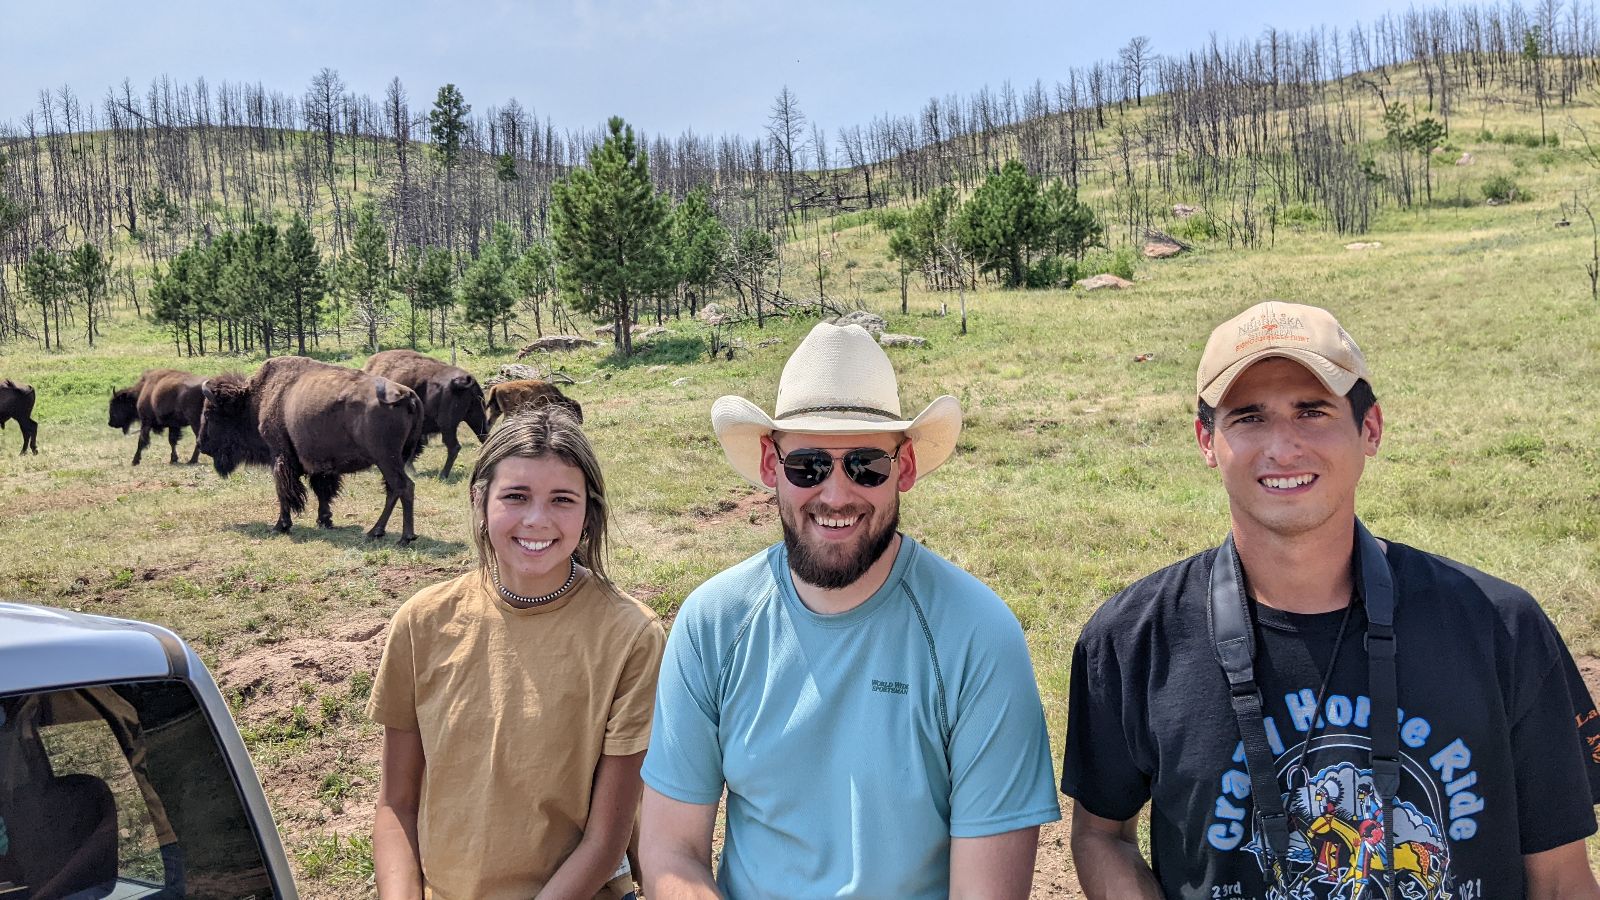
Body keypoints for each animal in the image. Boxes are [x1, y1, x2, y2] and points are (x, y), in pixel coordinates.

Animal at [197, 355, 425, 538]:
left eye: (209, 413)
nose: (201, 445)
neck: (256, 398)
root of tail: (408, 395)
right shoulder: (320, 464)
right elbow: (322, 490)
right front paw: (325, 521)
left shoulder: (280, 456)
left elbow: (284, 491)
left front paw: (280, 526)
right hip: (397, 458)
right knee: (393, 489)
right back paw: (376, 531)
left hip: (386, 459)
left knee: (403, 486)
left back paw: (404, 537)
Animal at [363, 349, 486, 477]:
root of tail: (465, 380)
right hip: (476, 417)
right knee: (484, 438)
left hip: (447, 425)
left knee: (454, 447)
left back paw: (443, 475)